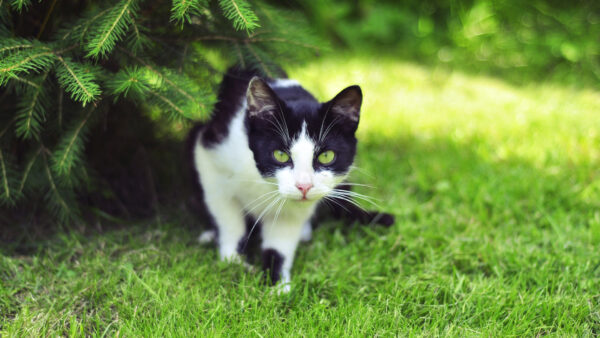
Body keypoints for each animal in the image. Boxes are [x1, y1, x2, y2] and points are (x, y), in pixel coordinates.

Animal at [188, 67, 394, 292]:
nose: (304, 186)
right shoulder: (211, 155)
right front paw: (234, 261)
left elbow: (280, 239)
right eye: (280, 155)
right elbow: (229, 218)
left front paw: (277, 284)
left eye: (326, 156)